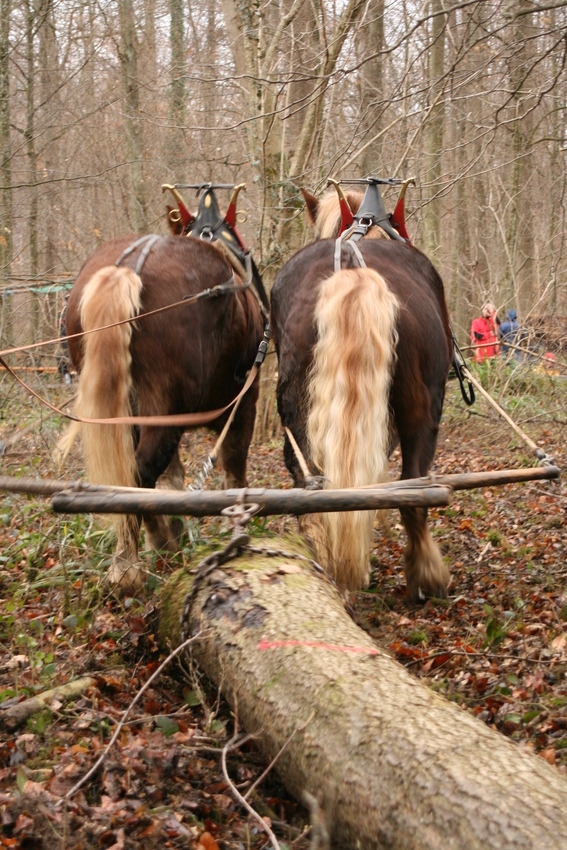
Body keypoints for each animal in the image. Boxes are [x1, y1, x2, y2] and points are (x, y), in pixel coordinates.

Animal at [60, 232, 268, 588]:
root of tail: (128, 268)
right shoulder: (244, 403)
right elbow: (234, 467)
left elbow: (171, 479)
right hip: (166, 406)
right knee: (139, 474)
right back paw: (134, 563)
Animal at [272, 189, 454, 600]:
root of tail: (354, 274)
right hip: (423, 409)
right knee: (413, 489)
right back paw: (426, 574)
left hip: (297, 407)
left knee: (310, 484)